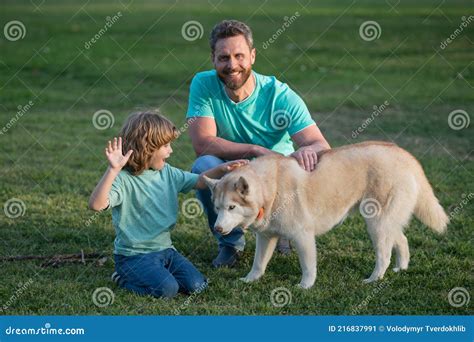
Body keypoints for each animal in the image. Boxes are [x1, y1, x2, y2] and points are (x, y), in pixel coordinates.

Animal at [204, 141, 448, 288]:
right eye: (217, 208)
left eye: (231, 207)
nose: (218, 228)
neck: (270, 188)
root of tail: (403, 153)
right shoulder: (265, 237)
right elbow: (258, 263)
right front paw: (250, 279)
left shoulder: (302, 236)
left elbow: (308, 267)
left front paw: (305, 286)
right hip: (385, 222)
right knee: (403, 240)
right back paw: (401, 268)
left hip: (376, 223)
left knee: (384, 255)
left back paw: (374, 278)